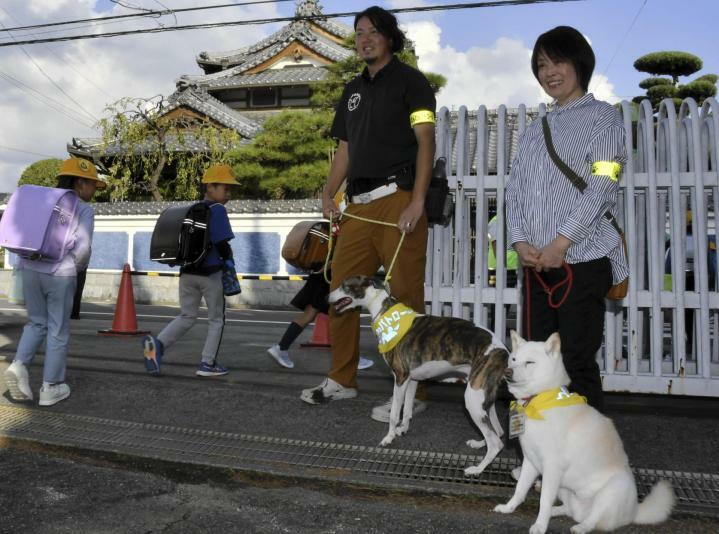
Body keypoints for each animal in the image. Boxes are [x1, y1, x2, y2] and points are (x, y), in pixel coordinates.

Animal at [330, 276, 510, 478]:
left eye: (345, 286)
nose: (327, 297)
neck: (385, 313)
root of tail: (504, 352)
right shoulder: (412, 380)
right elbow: (407, 410)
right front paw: (402, 430)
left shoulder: (400, 378)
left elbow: (394, 414)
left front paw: (388, 437)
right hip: (484, 399)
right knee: (498, 431)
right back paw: (480, 444)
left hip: (473, 400)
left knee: (496, 442)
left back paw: (477, 469)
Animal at [496, 332, 676, 532]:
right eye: (513, 359)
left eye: (529, 362)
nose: (507, 372)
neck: (539, 401)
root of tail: (635, 512)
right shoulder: (531, 461)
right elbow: (520, 489)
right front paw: (509, 508)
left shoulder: (552, 467)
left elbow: (544, 500)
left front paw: (540, 526)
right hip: (564, 488)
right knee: (569, 509)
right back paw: (557, 513)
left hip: (611, 490)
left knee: (593, 519)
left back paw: (581, 527)